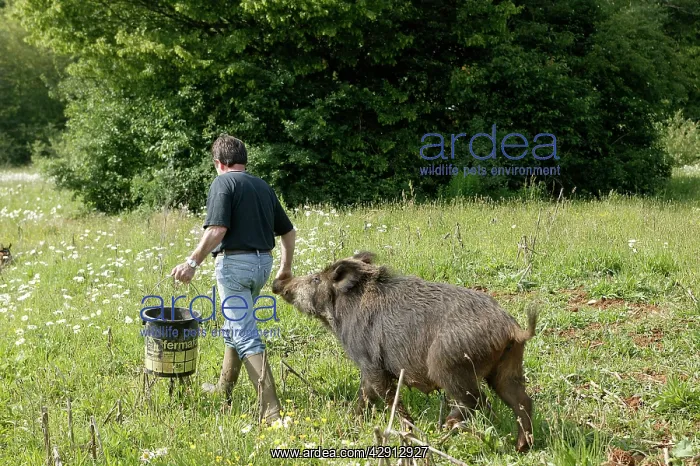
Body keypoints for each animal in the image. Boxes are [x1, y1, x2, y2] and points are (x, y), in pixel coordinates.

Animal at [272, 251, 537, 452]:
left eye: (316, 279)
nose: (278, 284)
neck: (343, 314)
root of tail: (513, 328)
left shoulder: (370, 361)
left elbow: (386, 395)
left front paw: (408, 429)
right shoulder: (367, 368)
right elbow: (364, 394)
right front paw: (352, 420)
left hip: (448, 364)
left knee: (478, 401)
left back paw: (446, 426)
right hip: (507, 366)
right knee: (521, 401)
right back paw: (521, 447)